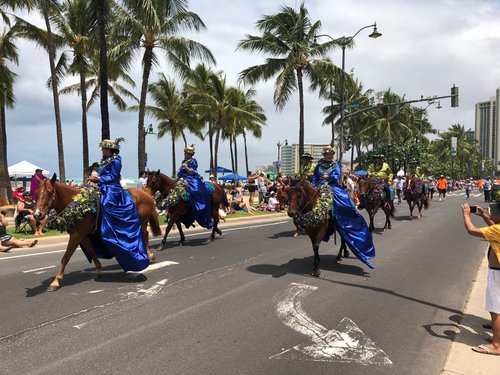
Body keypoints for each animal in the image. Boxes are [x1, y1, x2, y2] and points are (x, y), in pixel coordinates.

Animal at [33, 175, 162, 292]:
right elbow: (91, 251)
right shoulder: (83, 235)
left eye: (50, 192)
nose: (37, 215)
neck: (76, 203)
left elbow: (65, 257)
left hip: (143, 221)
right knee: (145, 234)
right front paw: (98, 270)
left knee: (144, 235)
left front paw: (56, 281)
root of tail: (145, 193)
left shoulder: (76, 235)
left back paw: (149, 255)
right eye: (36, 192)